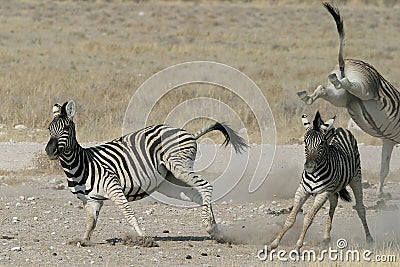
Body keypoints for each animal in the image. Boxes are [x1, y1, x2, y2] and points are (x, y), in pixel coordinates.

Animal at [45, 101, 248, 245]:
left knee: (206, 187)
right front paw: (83, 240)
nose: (49, 150)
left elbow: (128, 213)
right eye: (49, 129)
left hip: (179, 167)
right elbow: (90, 222)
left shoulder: (113, 187)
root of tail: (188, 132)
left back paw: (209, 226)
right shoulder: (91, 200)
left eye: (66, 128)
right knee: (197, 195)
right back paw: (214, 230)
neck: (81, 164)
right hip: (169, 182)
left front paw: (144, 237)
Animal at [268, 112, 374, 252]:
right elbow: (290, 218)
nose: (309, 166)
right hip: (333, 188)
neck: (315, 173)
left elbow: (308, 219)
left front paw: (298, 245)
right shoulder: (302, 190)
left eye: (322, 143)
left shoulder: (322, 193)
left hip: (355, 177)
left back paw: (369, 239)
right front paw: (274, 243)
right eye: (305, 142)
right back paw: (326, 237)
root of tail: (340, 129)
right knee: (334, 202)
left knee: (360, 208)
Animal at [296, 0, 400, 197]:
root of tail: (349, 61)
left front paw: (380, 195)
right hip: (365, 89)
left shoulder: (388, 140)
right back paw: (336, 81)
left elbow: (384, 168)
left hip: (340, 98)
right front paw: (382, 196)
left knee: (326, 88)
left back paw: (308, 95)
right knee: (348, 84)